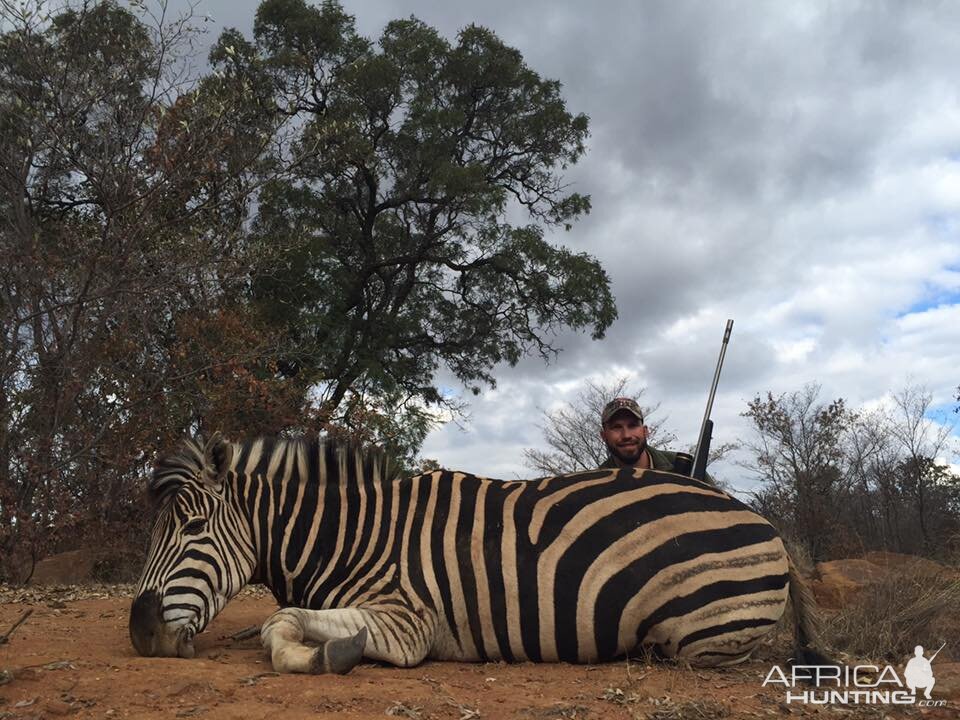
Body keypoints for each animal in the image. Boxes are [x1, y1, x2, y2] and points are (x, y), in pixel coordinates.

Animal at [129, 434, 824, 676]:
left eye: (192, 528)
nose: (139, 631)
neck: (351, 537)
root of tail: (758, 515)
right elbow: (274, 621)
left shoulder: (408, 622)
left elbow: (280, 625)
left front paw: (326, 655)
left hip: (703, 636)